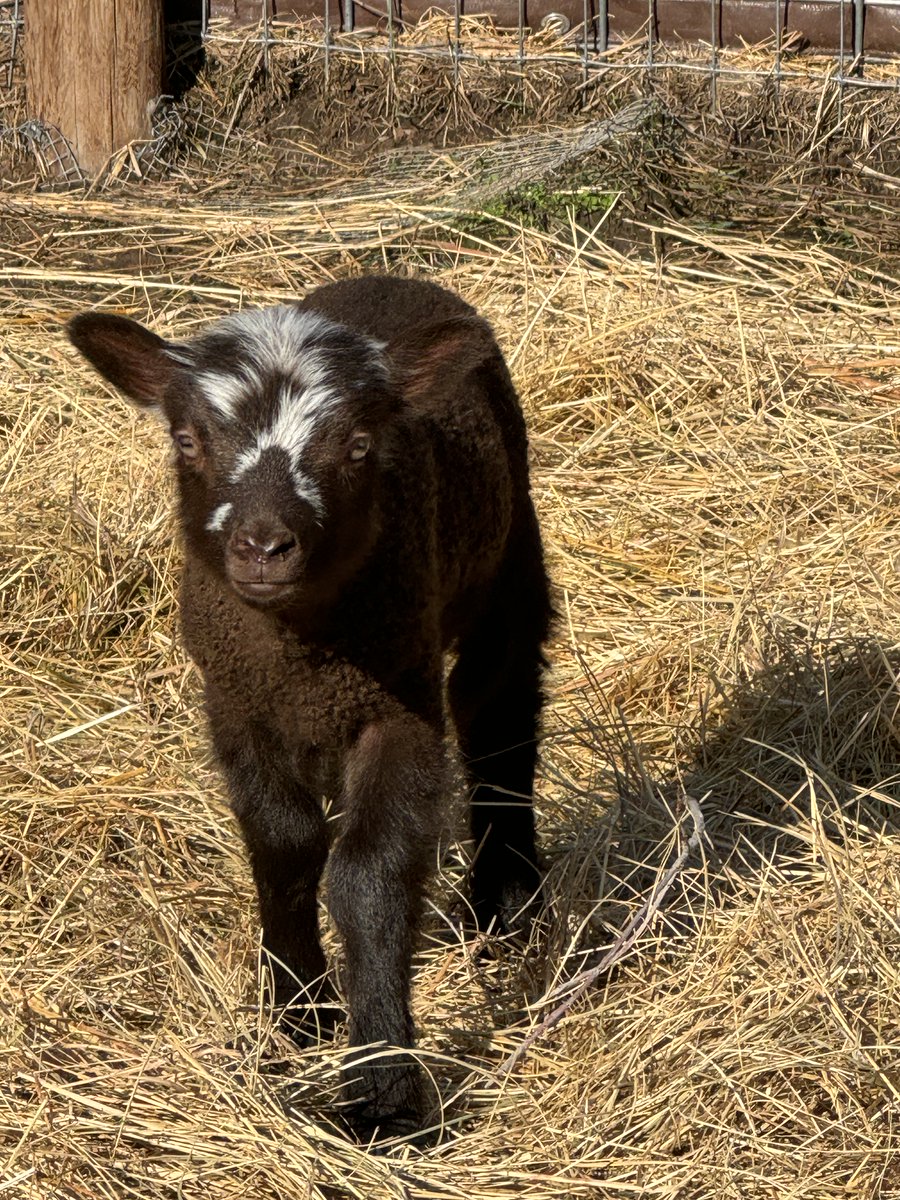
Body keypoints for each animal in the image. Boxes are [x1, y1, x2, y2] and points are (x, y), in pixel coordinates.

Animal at [67, 275, 553, 1140]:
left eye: (359, 446)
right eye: (187, 440)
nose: (264, 547)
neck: (300, 653)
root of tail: (388, 276)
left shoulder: (397, 706)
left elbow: (368, 874)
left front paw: (382, 1091)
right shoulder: (236, 705)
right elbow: (283, 844)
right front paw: (297, 1011)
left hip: (506, 556)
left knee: (499, 708)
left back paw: (505, 902)